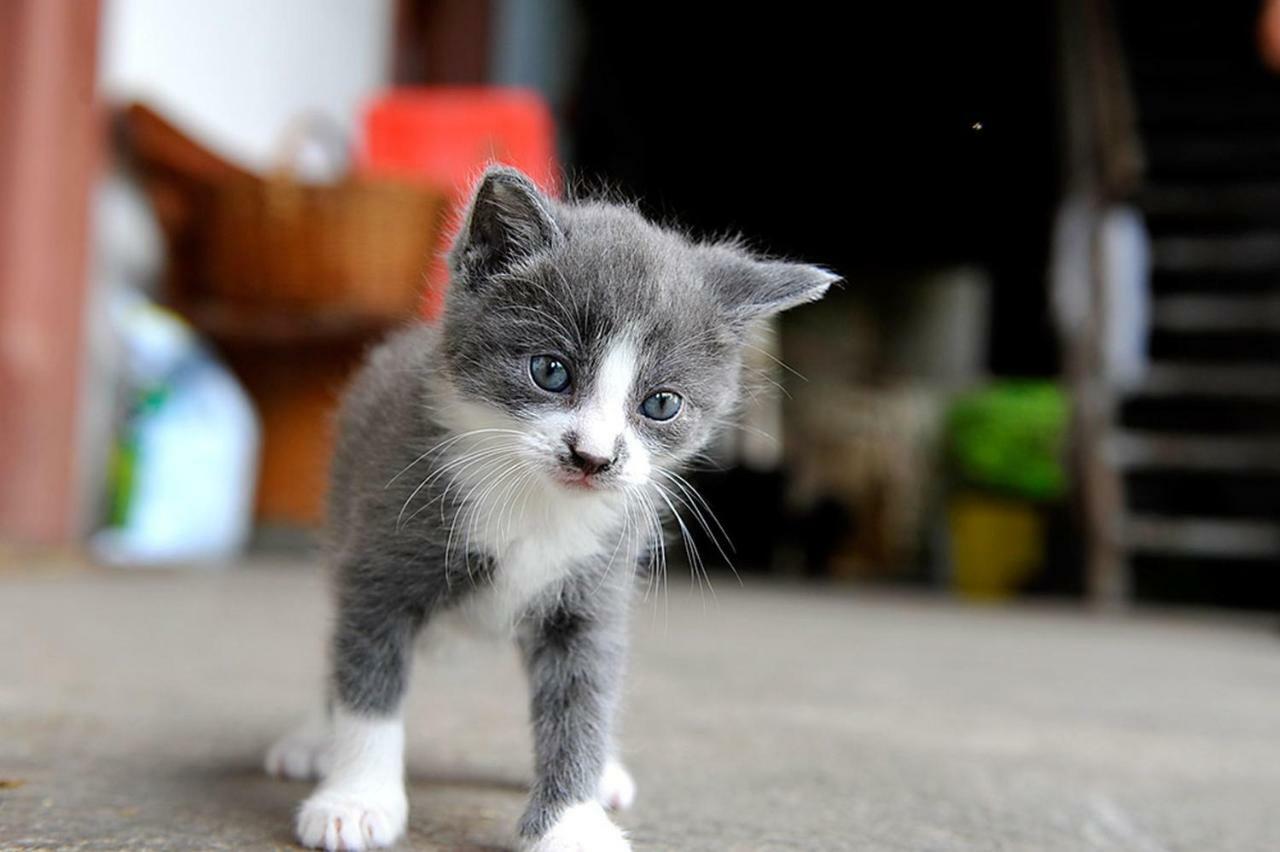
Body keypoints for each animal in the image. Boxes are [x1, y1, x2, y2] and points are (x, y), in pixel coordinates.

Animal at [264, 167, 834, 849]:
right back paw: (310, 740)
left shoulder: (593, 594)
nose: (593, 457)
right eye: (551, 372)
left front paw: (570, 821)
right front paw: (355, 799)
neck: (537, 506)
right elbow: (368, 680)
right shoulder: (381, 557)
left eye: (661, 404)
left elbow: (581, 698)